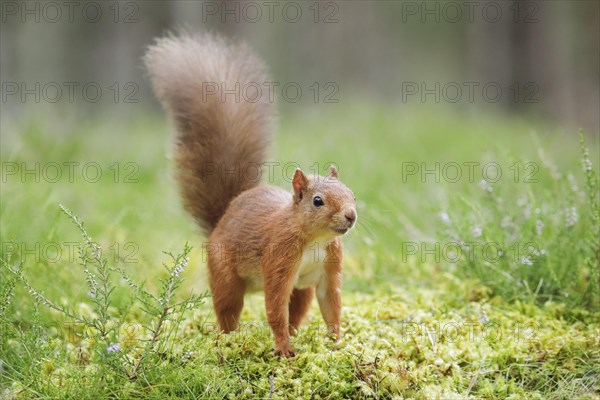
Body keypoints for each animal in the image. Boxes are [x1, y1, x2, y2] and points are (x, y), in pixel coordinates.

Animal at [145, 32, 356, 356]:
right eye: (317, 201)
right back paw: (227, 340)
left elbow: (331, 305)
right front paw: (283, 349)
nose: (351, 215)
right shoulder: (278, 259)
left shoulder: (329, 270)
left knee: (298, 309)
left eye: (351, 194)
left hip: (302, 289)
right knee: (228, 310)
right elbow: (275, 308)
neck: (316, 241)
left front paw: (336, 342)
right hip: (225, 276)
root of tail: (221, 221)